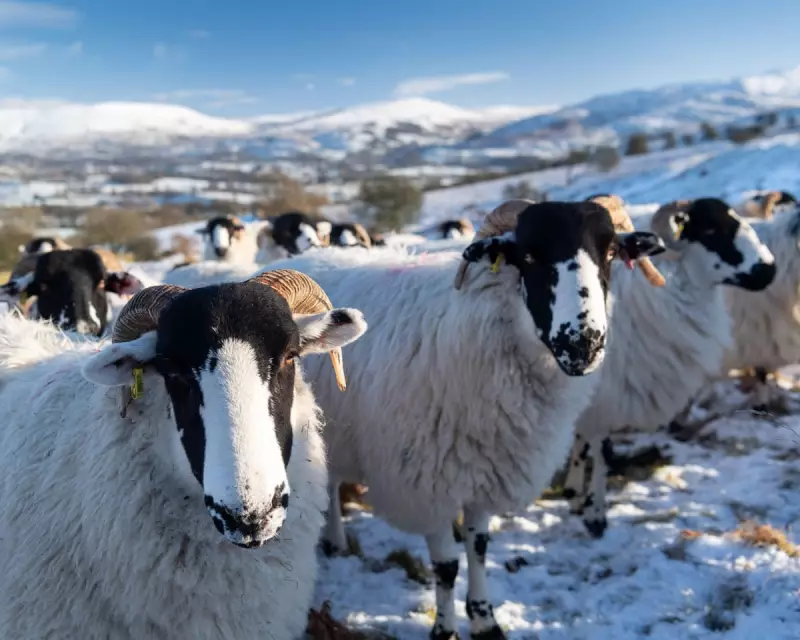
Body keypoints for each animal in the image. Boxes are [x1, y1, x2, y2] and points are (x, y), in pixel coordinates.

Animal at [257, 199, 666, 640]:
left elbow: (479, 549)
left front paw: (485, 619)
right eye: (529, 256)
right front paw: (446, 628)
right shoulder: (428, 482)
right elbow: (447, 566)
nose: (583, 344)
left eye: (609, 253)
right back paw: (334, 539)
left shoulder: (488, 471)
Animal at [563, 197, 777, 537]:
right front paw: (595, 512)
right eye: (710, 229)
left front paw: (576, 495)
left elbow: (586, 441)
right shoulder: (603, 394)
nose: (769, 270)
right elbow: (597, 447)